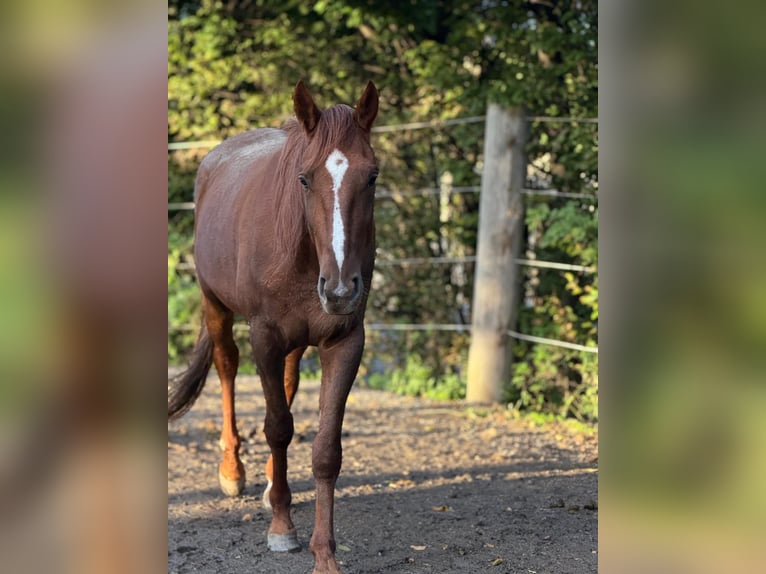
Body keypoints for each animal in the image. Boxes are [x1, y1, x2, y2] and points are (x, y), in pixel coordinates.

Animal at [168, 81, 379, 574]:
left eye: (372, 177)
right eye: (305, 179)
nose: (340, 289)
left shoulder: (346, 341)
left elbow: (326, 449)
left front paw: (325, 555)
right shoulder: (263, 336)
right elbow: (278, 427)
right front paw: (282, 530)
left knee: (286, 383)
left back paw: (267, 481)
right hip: (216, 307)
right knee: (227, 368)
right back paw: (234, 472)